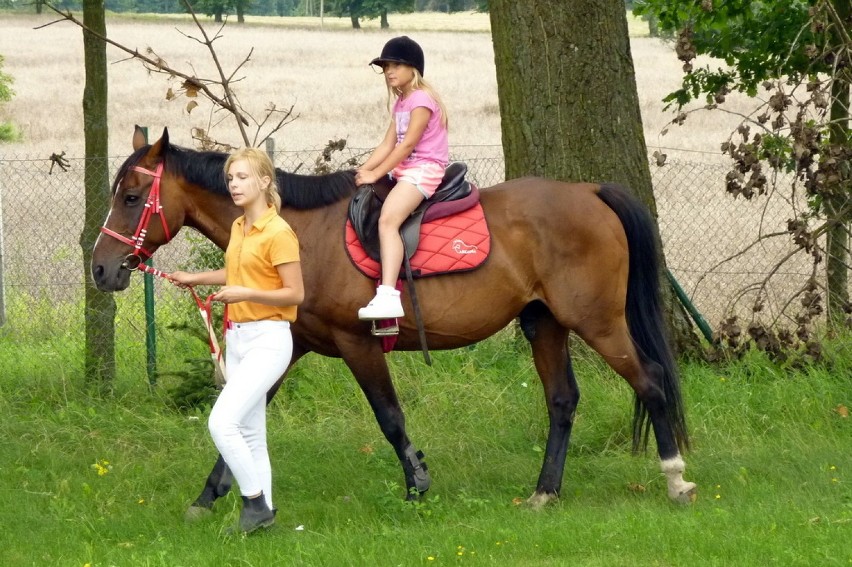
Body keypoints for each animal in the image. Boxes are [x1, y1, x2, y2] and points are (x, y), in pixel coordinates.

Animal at [90, 129, 696, 510]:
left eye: (133, 196)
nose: (100, 268)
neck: (301, 235)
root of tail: (589, 191)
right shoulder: (292, 346)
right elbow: (241, 413)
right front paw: (209, 497)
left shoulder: (357, 345)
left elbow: (390, 418)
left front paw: (416, 485)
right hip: (544, 323)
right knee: (563, 401)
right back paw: (545, 493)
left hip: (598, 323)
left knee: (651, 382)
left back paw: (675, 479)